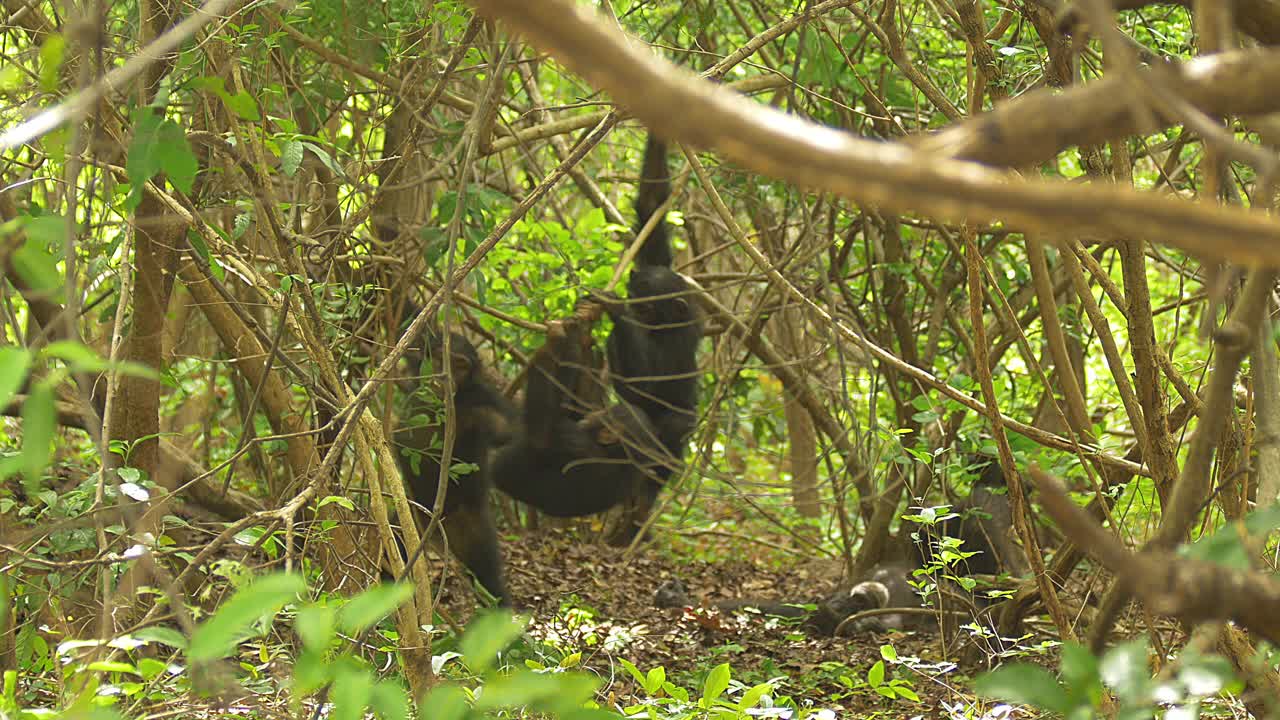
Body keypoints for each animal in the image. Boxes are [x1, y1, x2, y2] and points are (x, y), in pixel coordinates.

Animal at [389, 327, 514, 602]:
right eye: (439, 359)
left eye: (460, 366)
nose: (443, 380)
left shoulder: (486, 400)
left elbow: (513, 432)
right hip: (410, 517)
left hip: (473, 531)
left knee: (489, 581)